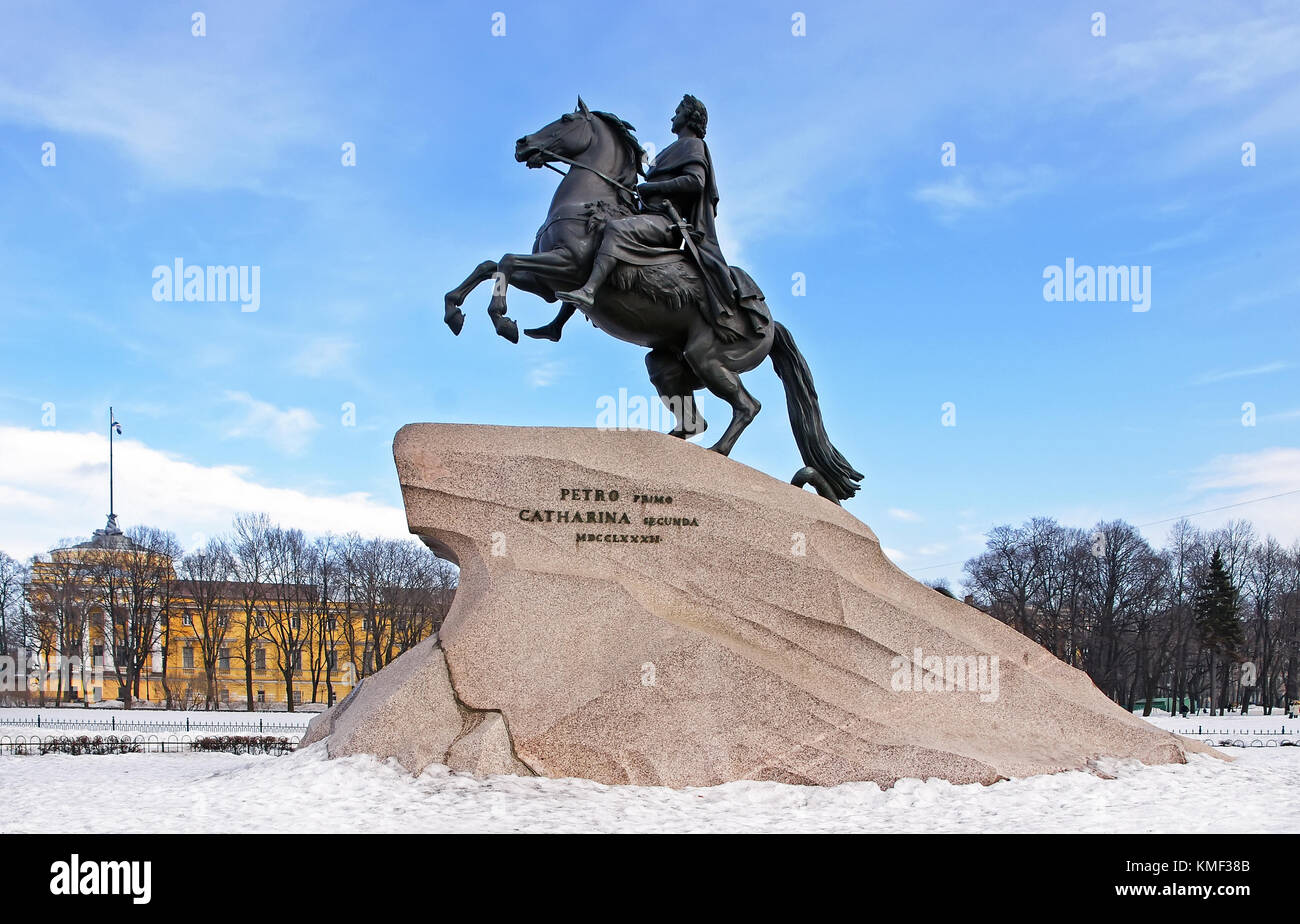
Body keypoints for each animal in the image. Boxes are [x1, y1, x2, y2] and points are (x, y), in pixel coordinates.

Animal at [439, 98, 863, 501]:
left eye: (565, 119)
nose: (522, 144)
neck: (591, 202)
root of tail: (771, 323)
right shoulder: (545, 281)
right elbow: (491, 265)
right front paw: (455, 311)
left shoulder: (566, 266)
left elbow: (507, 262)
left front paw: (501, 318)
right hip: (667, 364)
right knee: (694, 419)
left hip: (709, 358)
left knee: (747, 406)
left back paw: (718, 452)